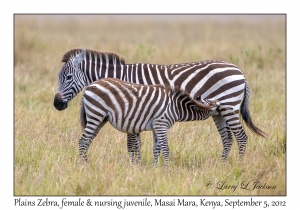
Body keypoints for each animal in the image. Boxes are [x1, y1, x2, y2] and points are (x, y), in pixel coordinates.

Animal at [77, 77, 218, 166]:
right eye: (219, 107)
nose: (221, 110)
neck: (175, 106)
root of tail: (89, 86)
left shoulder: (156, 127)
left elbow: (156, 149)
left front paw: (155, 169)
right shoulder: (161, 124)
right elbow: (165, 149)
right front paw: (167, 171)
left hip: (101, 119)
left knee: (88, 140)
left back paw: (86, 161)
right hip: (96, 114)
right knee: (83, 140)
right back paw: (83, 165)